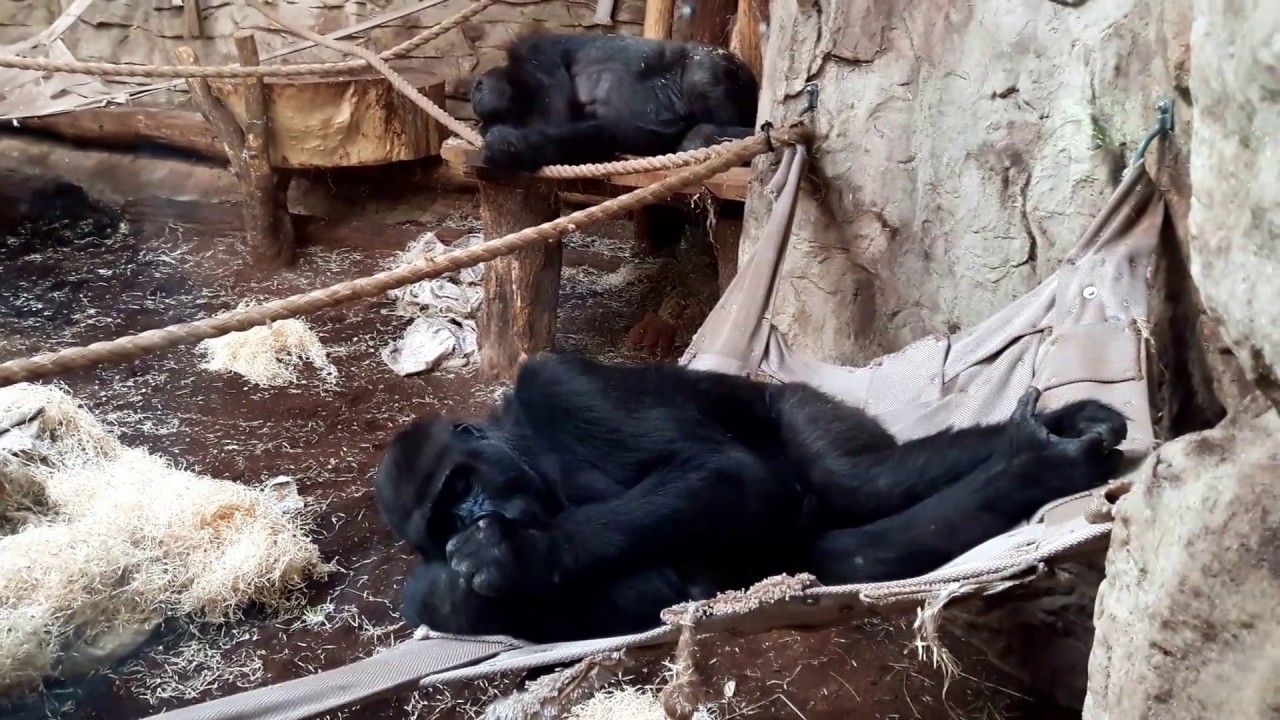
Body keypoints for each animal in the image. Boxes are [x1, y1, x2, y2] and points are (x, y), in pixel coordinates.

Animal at [373, 353, 1126, 638]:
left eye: (461, 484)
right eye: (443, 517)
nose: (476, 516)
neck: (519, 443)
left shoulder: (556, 385)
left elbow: (721, 472)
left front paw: (523, 553)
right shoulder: (426, 595)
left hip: (796, 403)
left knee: (856, 477)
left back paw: (1037, 452)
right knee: (849, 551)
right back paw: (1031, 463)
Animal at [471, 34, 757, 172]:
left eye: (480, 87)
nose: (474, 92)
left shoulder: (537, 56)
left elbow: (556, 121)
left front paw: (504, 142)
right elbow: (597, 133)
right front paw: (505, 144)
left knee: (703, 76)